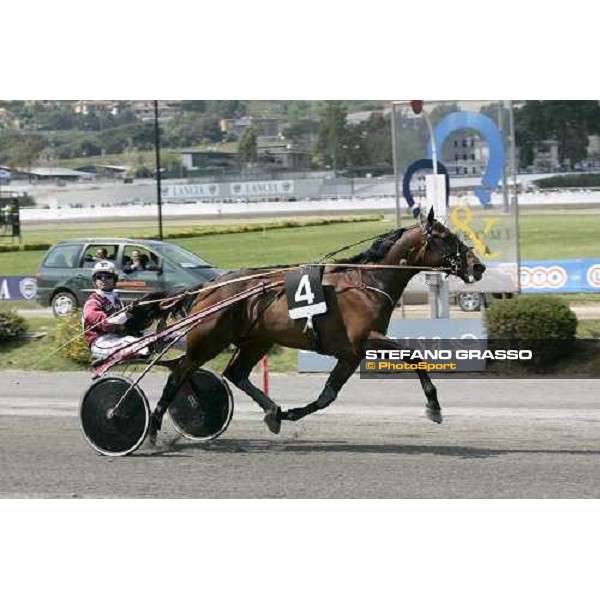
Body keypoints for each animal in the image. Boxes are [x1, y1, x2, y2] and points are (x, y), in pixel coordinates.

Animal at [129, 209, 486, 442]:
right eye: (444, 237)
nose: (478, 266)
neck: (368, 281)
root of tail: (209, 286)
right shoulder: (365, 340)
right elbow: (413, 355)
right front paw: (433, 407)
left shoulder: (349, 355)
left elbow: (327, 396)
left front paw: (286, 415)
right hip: (208, 340)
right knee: (178, 373)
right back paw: (152, 428)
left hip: (256, 340)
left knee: (233, 373)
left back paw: (271, 411)